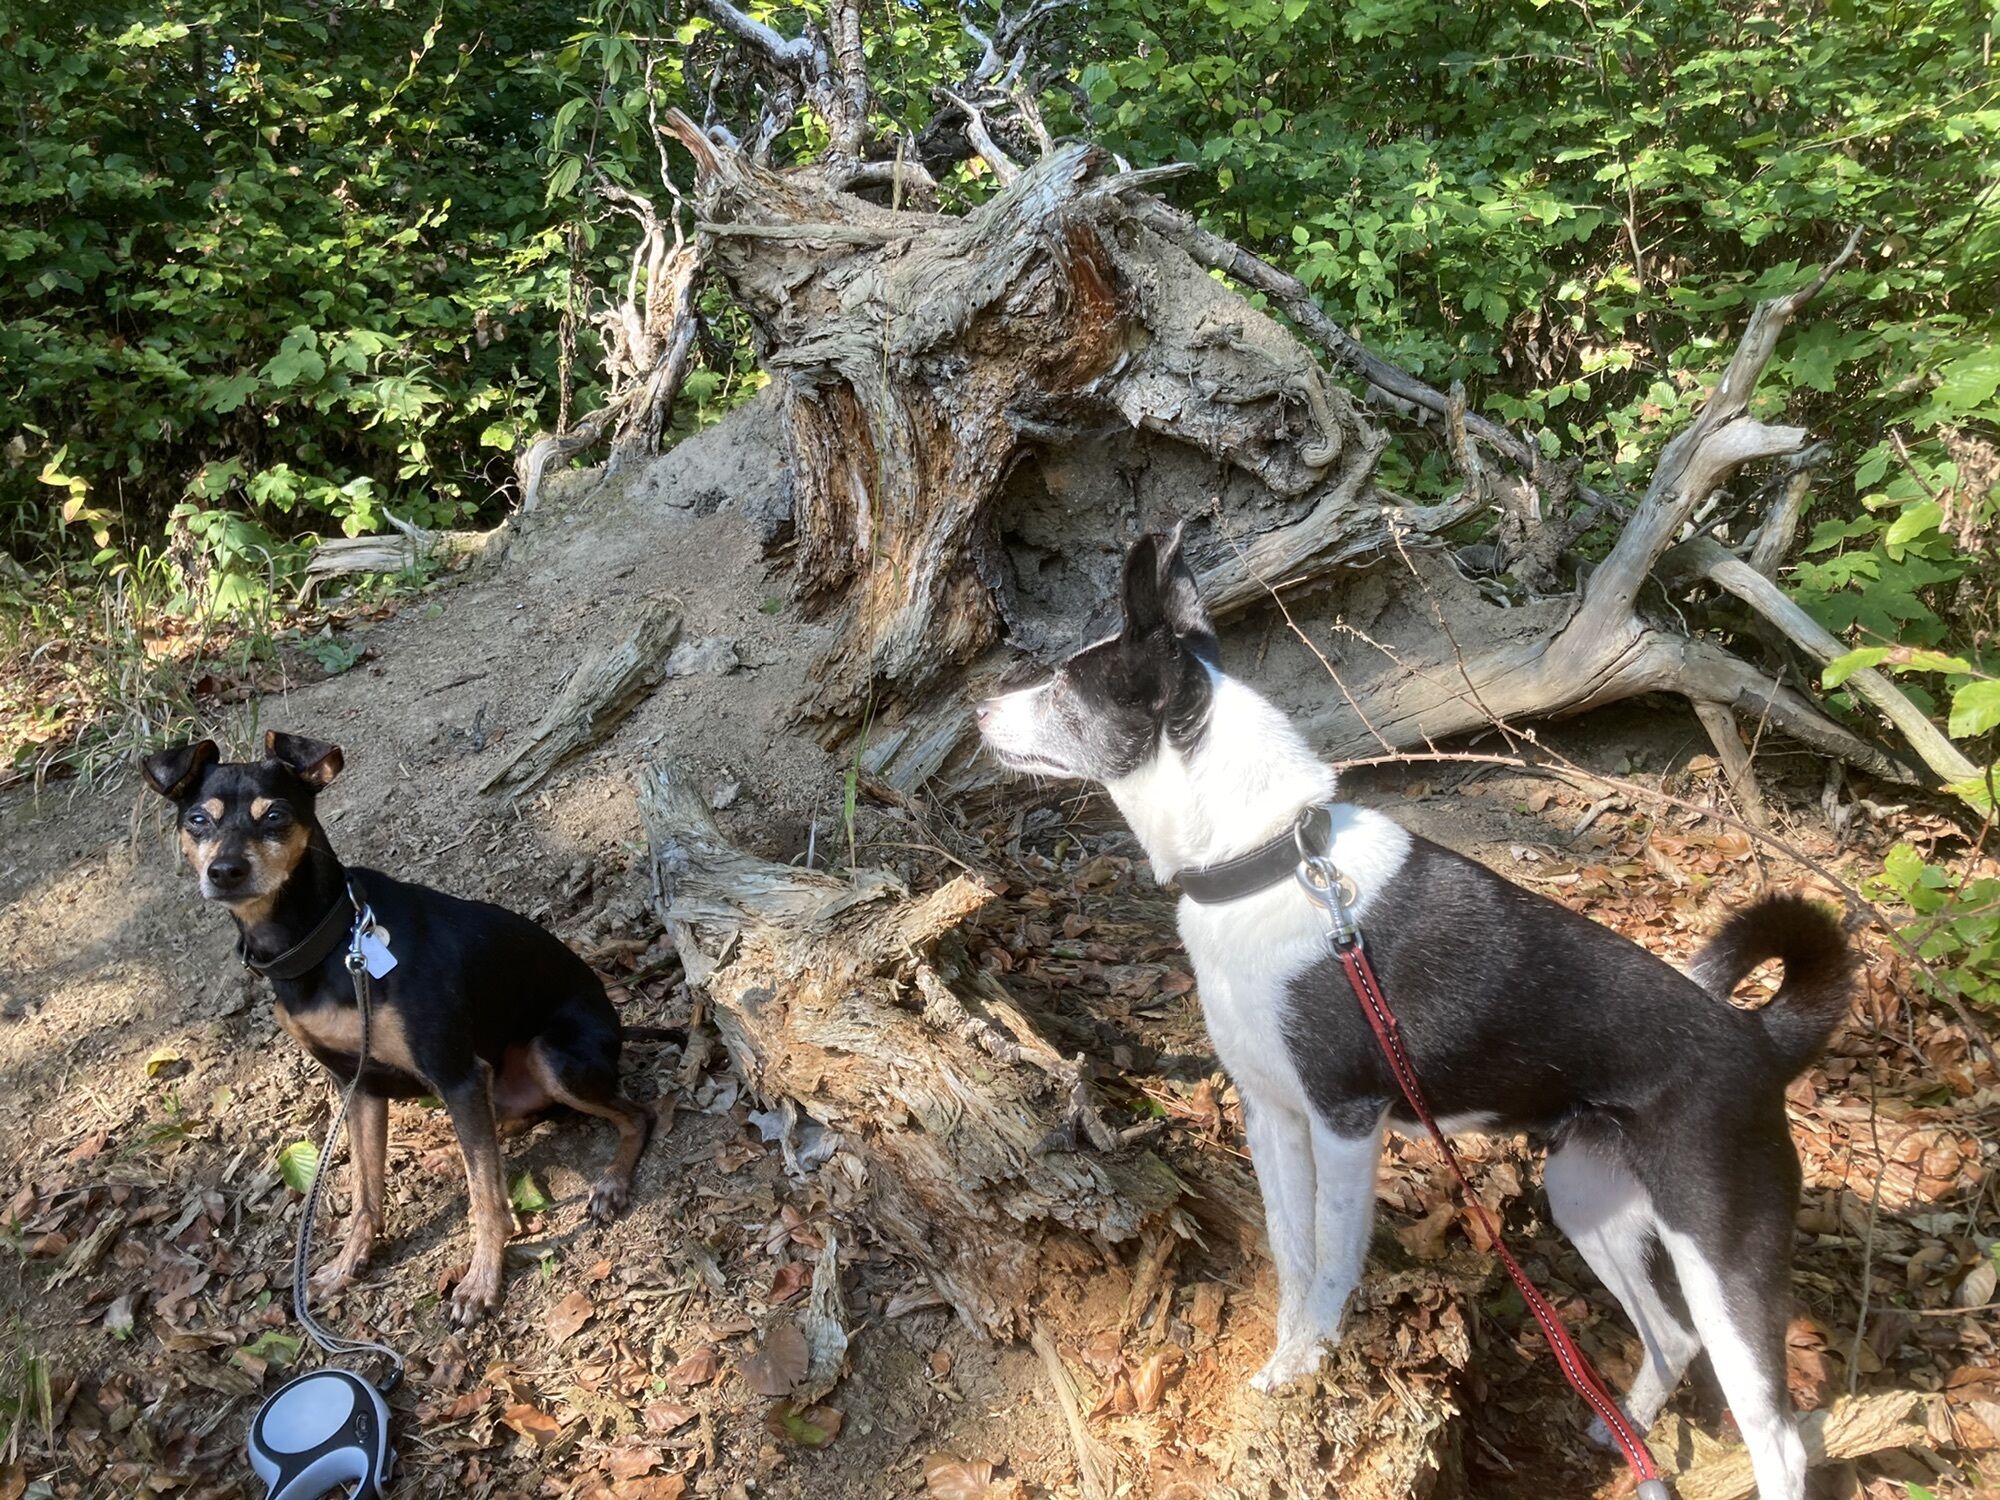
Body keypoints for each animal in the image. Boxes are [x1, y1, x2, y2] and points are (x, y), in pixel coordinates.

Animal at [142, 732, 664, 1324]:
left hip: (551, 1056)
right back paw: (451, 1153)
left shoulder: (456, 1072)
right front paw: (344, 1267)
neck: (326, 943)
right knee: (511, 1124)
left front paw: (481, 1282)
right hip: (496, 1083)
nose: (225, 871)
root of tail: (618, 1027)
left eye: (274, 815)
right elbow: (366, 1193)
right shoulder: (358, 1084)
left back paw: (611, 1182)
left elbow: (487, 1200)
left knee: (635, 1114)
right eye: (197, 821)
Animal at [976, 530, 1853, 1500]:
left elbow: (1329, 1263)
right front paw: (1286, 1370)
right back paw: (1617, 1432)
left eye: (1066, 688)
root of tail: (1758, 1040)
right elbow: (1290, 1256)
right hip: (1586, 1195)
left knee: (1775, 1436)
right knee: (1672, 1334)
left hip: (1719, 1249)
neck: (1264, 863)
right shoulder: (1273, 1116)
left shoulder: (1344, 1121)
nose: (977, 713)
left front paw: (1313, 1368)